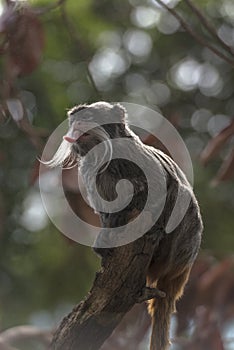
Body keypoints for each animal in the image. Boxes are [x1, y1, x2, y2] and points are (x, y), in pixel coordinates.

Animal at [47, 102, 203, 350]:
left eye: (88, 117)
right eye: (75, 120)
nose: (79, 123)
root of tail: (182, 269)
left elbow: (162, 186)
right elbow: (105, 212)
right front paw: (104, 244)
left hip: (181, 244)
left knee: (180, 194)